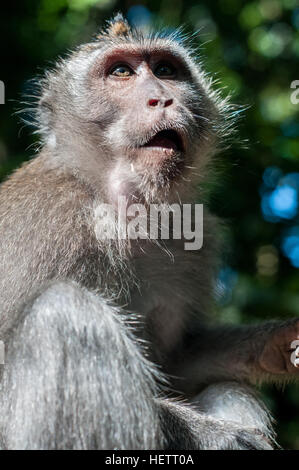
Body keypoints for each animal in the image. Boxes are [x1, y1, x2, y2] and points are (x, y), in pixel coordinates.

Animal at [0, 12, 298, 450]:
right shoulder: (46, 227)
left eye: (166, 71)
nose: (162, 98)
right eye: (121, 72)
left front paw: (278, 344)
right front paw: (225, 437)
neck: (124, 211)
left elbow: (176, 361)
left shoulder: (197, 238)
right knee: (66, 313)